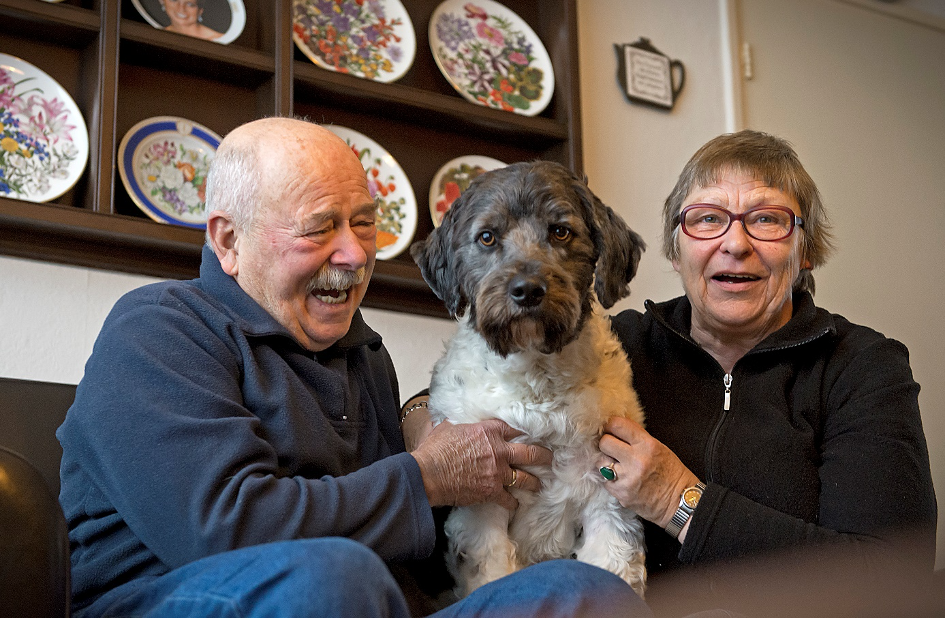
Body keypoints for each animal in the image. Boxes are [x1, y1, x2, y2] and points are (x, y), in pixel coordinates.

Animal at [412, 159, 648, 596]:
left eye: (560, 230)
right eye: (487, 237)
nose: (527, 290)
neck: (538, 384)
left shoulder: (608, 499)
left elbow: (614, 566)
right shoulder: (483, 504)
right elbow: (491, 569)